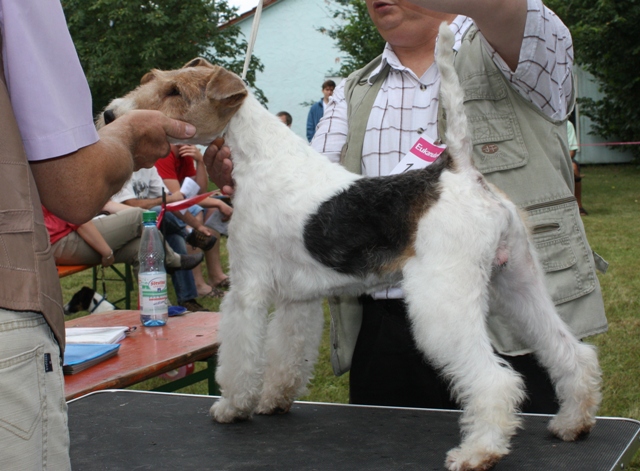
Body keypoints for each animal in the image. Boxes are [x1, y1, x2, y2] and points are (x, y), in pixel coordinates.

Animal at [99, 24, 600, 471]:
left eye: (174, 91)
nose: (109, 115)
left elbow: (241, 356)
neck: (261, 158)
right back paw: (571, 423)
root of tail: (458, 170)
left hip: (446, 298)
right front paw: (274, 400)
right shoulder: (297, 298)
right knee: (570, 352)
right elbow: (286, 354)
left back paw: (478, 452)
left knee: (495, 379)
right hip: (519, 283)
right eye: (150, 78)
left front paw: (233, 406)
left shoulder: (248, 289)